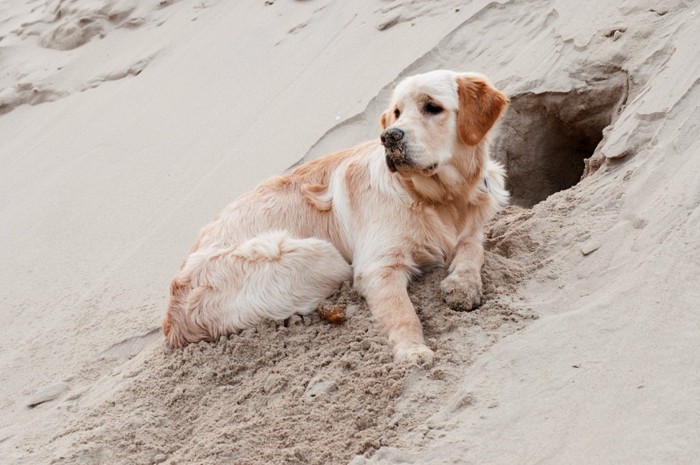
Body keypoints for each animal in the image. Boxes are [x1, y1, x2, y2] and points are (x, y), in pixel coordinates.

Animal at [161, 70, 506, 366]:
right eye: (397, 112)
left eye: (432, 107)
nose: (389, 137)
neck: (441, 198)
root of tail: (172, 321)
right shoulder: (377, 266)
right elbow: (402, 312)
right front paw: (412, 350)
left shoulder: (472, 226)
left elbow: (472, 249)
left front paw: (462, 286)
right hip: (322, 255)